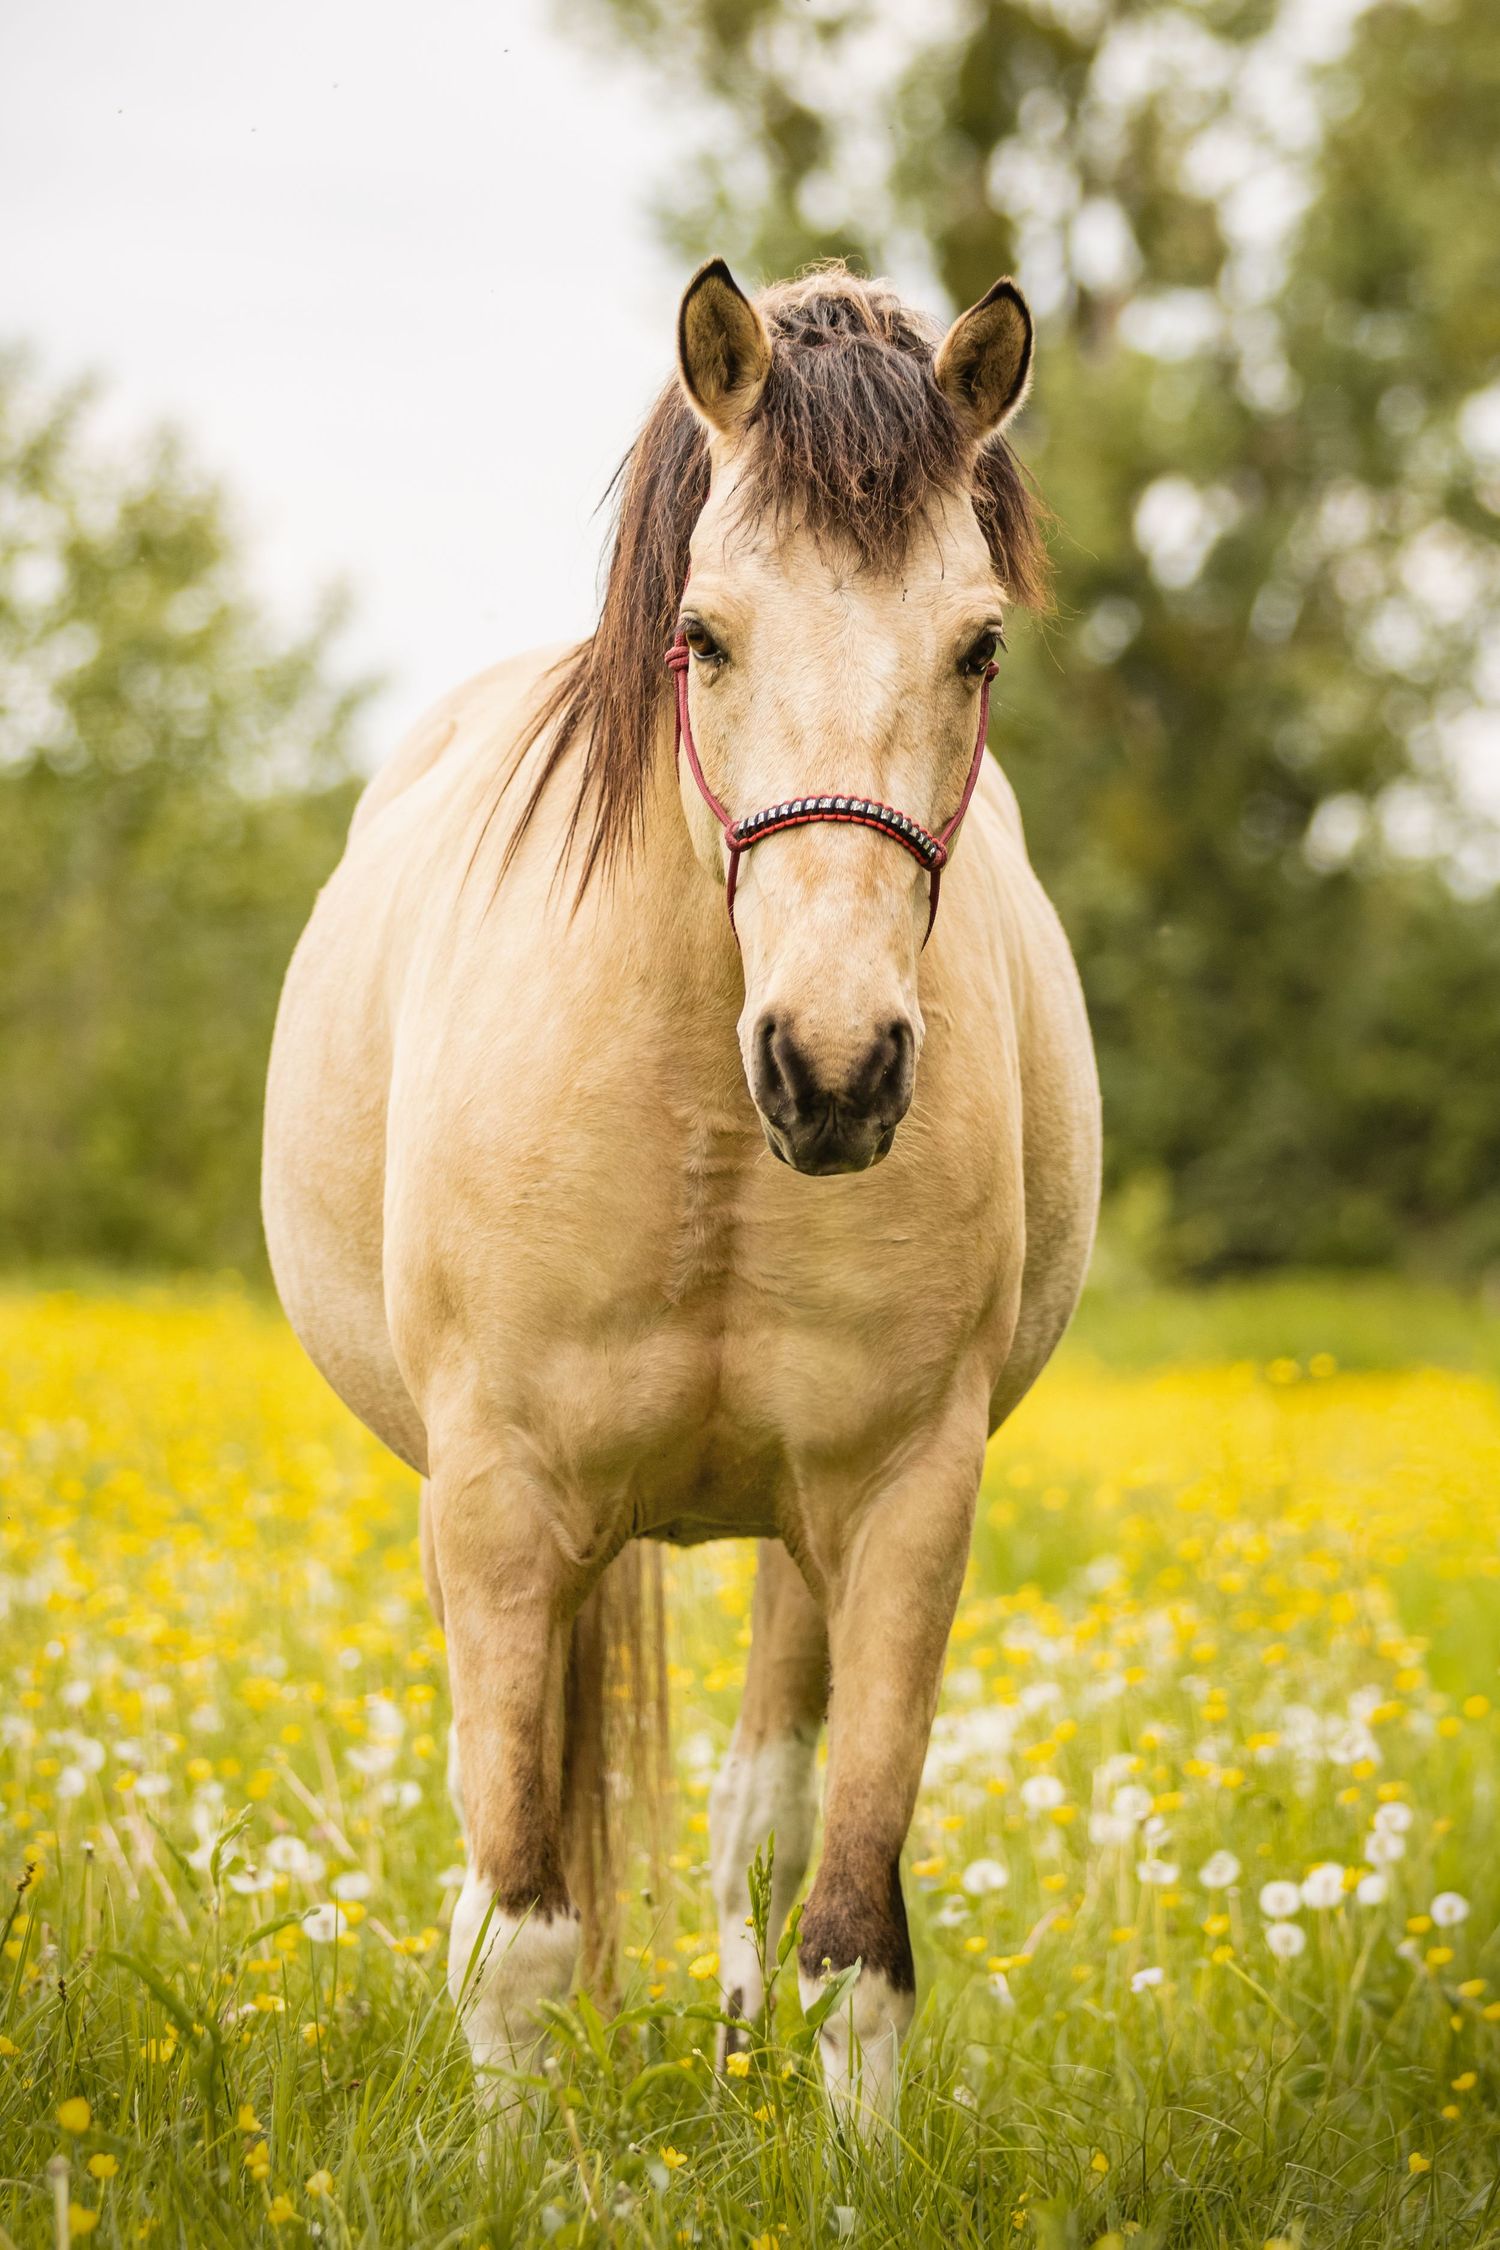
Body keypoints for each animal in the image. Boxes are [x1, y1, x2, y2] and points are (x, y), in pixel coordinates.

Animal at [262, 258, 1100, 2122]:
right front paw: (517, 2158)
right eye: (705, 634)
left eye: (978, 644)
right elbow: (520, 1928)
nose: (836, 1067)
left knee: (756, 1829)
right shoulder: (500, 1505)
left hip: (800, 1541)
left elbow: (852, 1931)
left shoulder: (904, 1503)